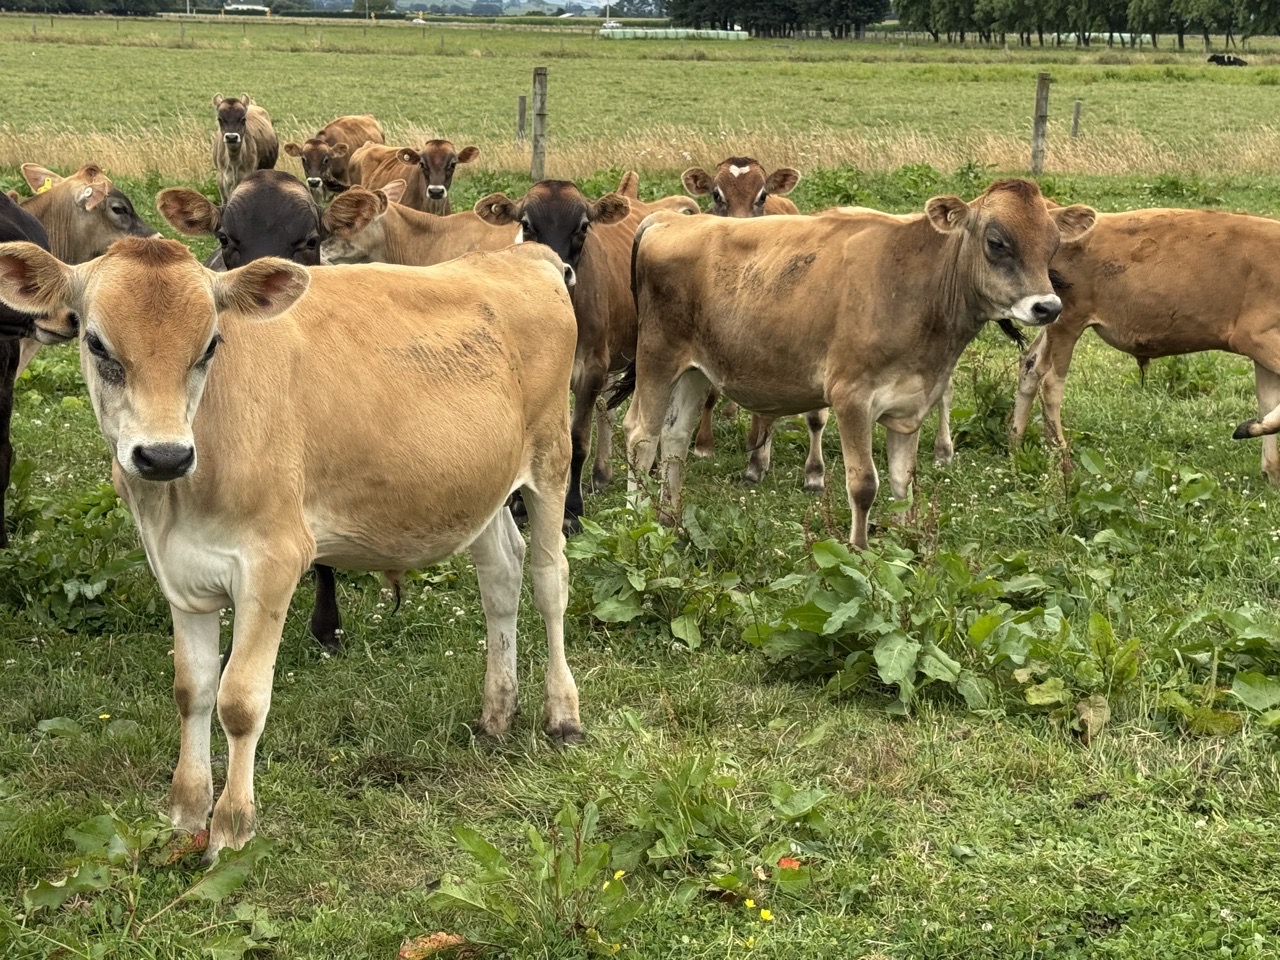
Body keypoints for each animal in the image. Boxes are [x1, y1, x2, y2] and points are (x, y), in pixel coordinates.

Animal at [0, 236, 583, 860]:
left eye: (211, 344)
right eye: (96, 342)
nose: (163, 455)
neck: (177, 499)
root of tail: (521, 255)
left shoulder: (273, 562)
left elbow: (238, 700)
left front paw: (231, 828)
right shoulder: (178, 570)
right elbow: (191, 689)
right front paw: (186, 811)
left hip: (551, 458)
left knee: (549, 581)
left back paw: (562, 713)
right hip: (479, 488)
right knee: (501, 575)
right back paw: (497, 713)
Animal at [474, 181, 698, 528]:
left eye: (582, 226)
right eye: (526, 224)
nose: (560, 271)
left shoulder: (591, 367)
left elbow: (578, 439)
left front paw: (571, 509)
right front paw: (519, 504)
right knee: (608, 409)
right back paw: (602, 473)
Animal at [616, 180, 1095, 547]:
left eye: (1053, 245)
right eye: (996, 242)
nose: (1048, 307)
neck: (915, 287)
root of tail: (671, 219)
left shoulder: (912, 400)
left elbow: (903, 480)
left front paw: (904, 543)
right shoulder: (851, 397)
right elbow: (864, 484)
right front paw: (860, 550)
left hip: (696, 371)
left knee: (675, 438)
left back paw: (670, 517)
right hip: (658, 355)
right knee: (642, 435)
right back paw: (637, 519)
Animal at [1009, 208, 1280, 482]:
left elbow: (1267, 401)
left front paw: (1271, 474)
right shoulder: (1253, 336)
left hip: (1052, 320)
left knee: (1030, 365)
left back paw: (1015, 445)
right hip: (1068, 322)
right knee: (1050, 382)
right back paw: (1061, 463)